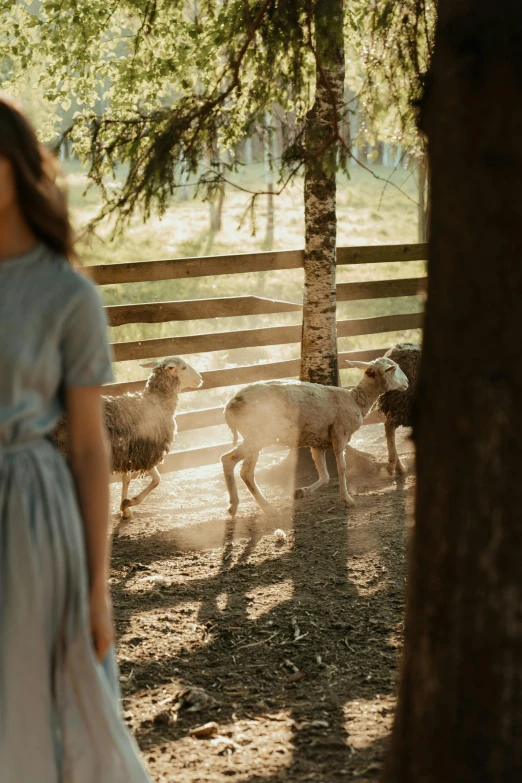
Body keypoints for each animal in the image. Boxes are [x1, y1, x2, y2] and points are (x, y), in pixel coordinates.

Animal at [53, 356, 201, 516]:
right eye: (184, 368)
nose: (200, 378)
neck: (155, 403)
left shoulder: (127, 454)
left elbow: (126, 479)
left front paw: (125, 509)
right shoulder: (146, 452)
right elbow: (157, 479)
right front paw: (129, 502)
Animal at [219, 358, 406, 516]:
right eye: (394, 368)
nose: (407, 383)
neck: (356, 400)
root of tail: (229, 407)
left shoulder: (318, 444)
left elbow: (325, 476)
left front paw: (302, 492)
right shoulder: (339, 434)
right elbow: (342, 468)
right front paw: (347, 499)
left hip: (253, 436)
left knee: (233, 464)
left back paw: (237, 506)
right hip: (257, 435)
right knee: (237, 466)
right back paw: (262, 507)